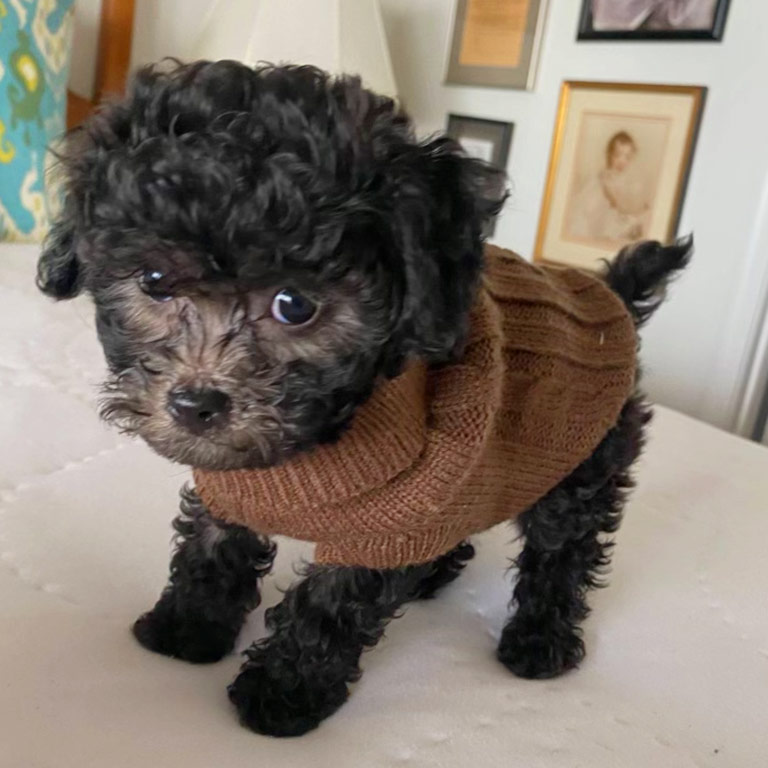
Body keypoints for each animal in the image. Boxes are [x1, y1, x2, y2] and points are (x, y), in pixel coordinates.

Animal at [36, 58, 688, 732]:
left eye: (295, 304)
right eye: (155, 280)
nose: (196, 405)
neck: (317, 442)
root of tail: (608, 300)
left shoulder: (397, 509)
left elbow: (330, 603)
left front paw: (283, 692)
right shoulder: (232, 487)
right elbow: (213, 546)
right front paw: (187, 628)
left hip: (585, 463)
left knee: (563, 551)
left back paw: (540, 642)